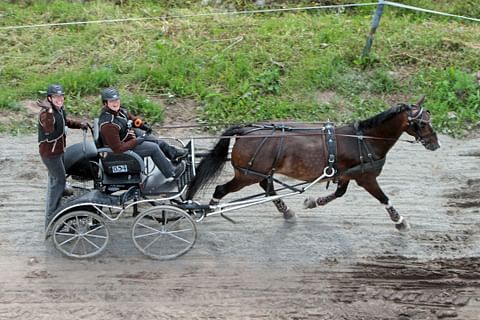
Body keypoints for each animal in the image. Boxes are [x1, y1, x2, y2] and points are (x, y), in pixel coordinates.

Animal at [186, 96, 440, 231]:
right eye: (423, 123)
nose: (435, 143)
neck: (363, 140)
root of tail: (245, 130)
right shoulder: (366, 178)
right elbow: (384, 198)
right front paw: (400, 221)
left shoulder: (346, 174)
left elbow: (338, 194)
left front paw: (313, 202)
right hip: (247, 174)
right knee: (223, 189)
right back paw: (206, 208)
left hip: (259, 172)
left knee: (268, 189)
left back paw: (287, 212)